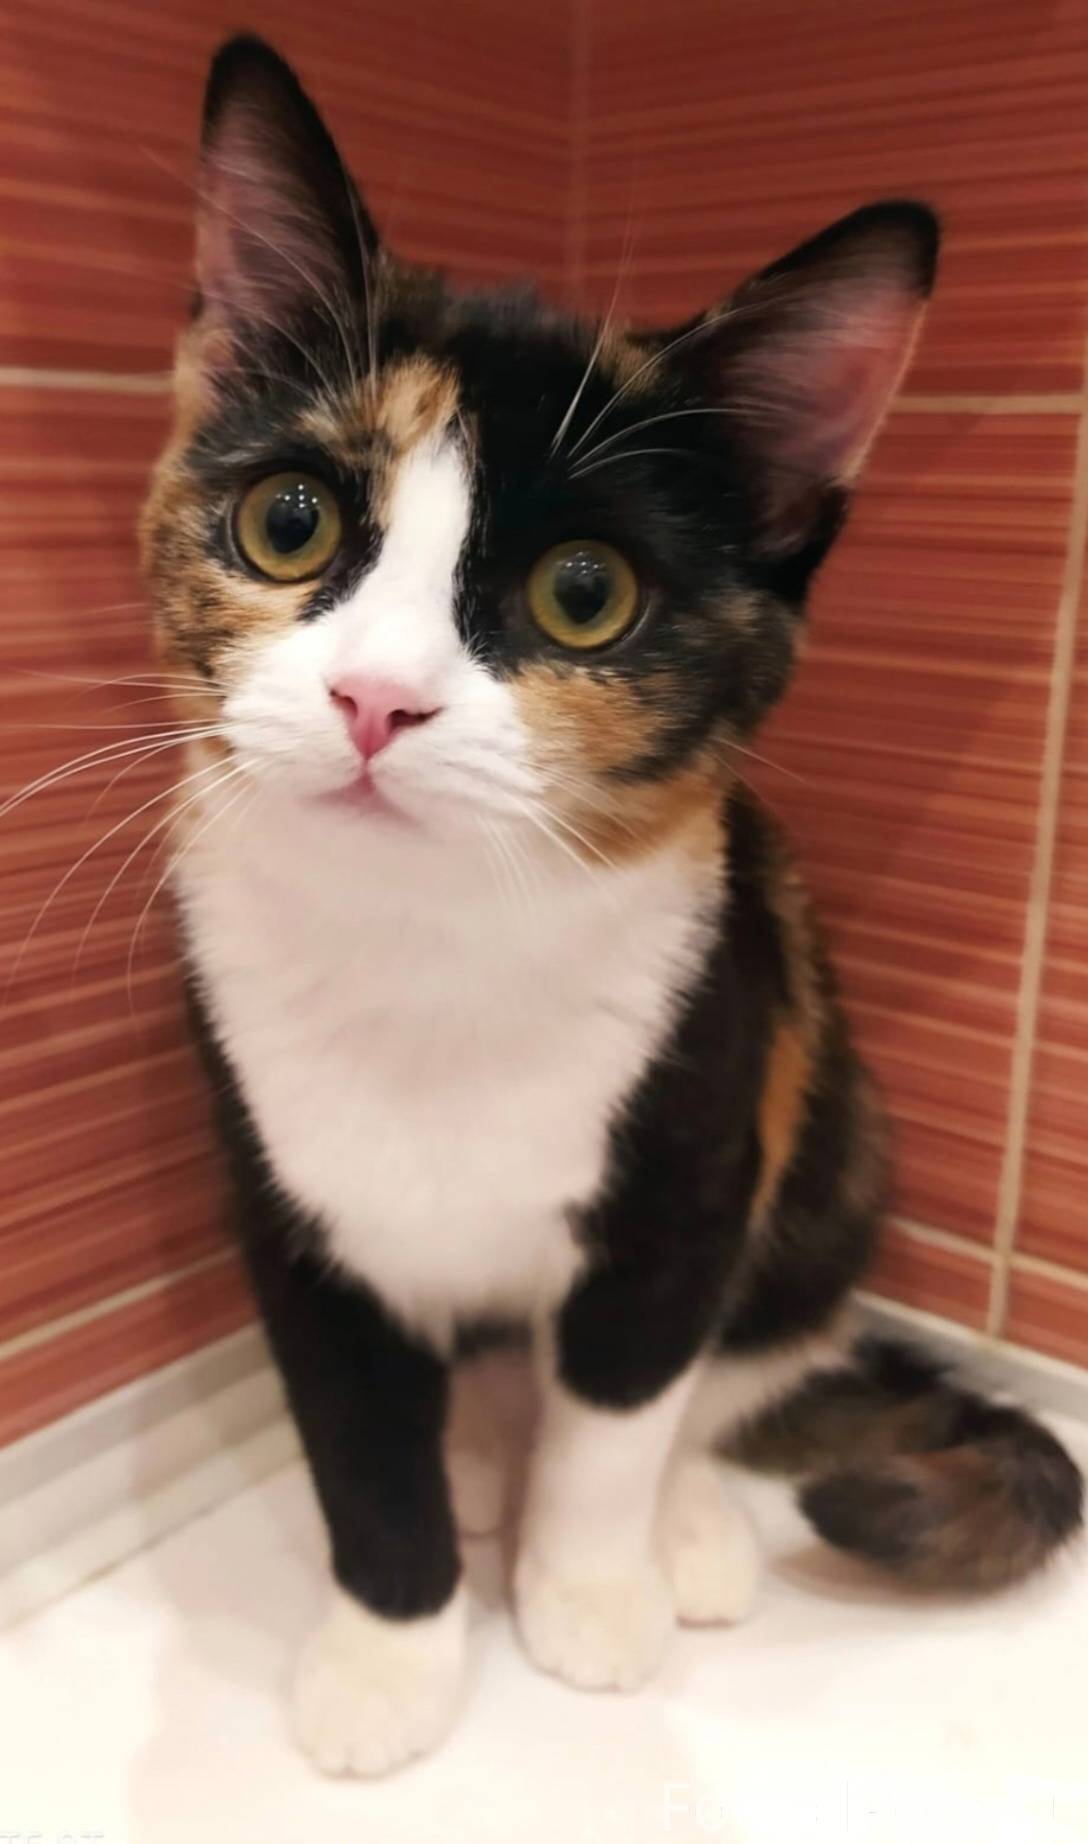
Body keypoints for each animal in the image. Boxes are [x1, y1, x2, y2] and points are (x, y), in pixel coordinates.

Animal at [140, 35, 1083, 1777]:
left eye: (586, 594)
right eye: (289, 522)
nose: (375, 700)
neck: (430, 949)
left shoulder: (695, 1150)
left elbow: (625, 1404)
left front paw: (584, 1593)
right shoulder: (279, 1193)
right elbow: (354, 1435)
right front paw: (391, 1652)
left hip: (827, 1125)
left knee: (731, 1359)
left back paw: (685, 1520)